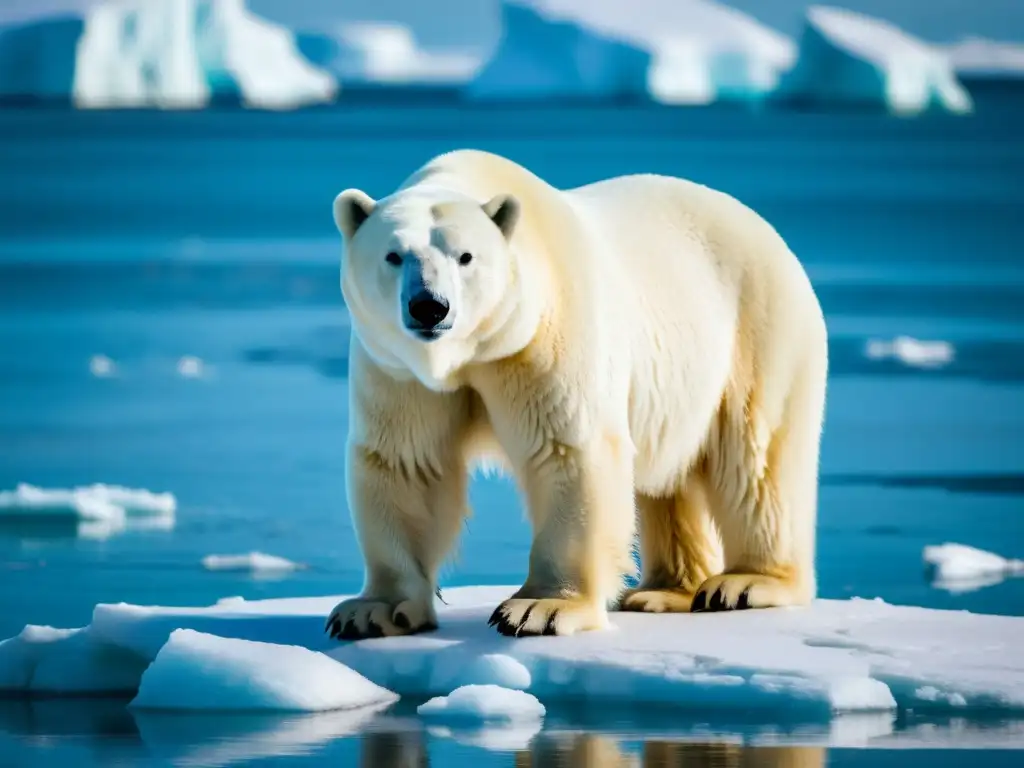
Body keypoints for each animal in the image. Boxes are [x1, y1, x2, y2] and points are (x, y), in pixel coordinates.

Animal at [323, 150, 827, 643]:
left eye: (466, 256)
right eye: (393, 255)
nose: (430, 306)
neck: (472, 351)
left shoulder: (545, 333)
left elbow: (567, 450)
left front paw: (540, 609)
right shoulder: (397, 366)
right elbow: (406, 462)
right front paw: (372, 610)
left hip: (758, 328)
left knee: (757, 458)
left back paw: (745, 582)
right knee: (672, 479)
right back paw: (663, 591)